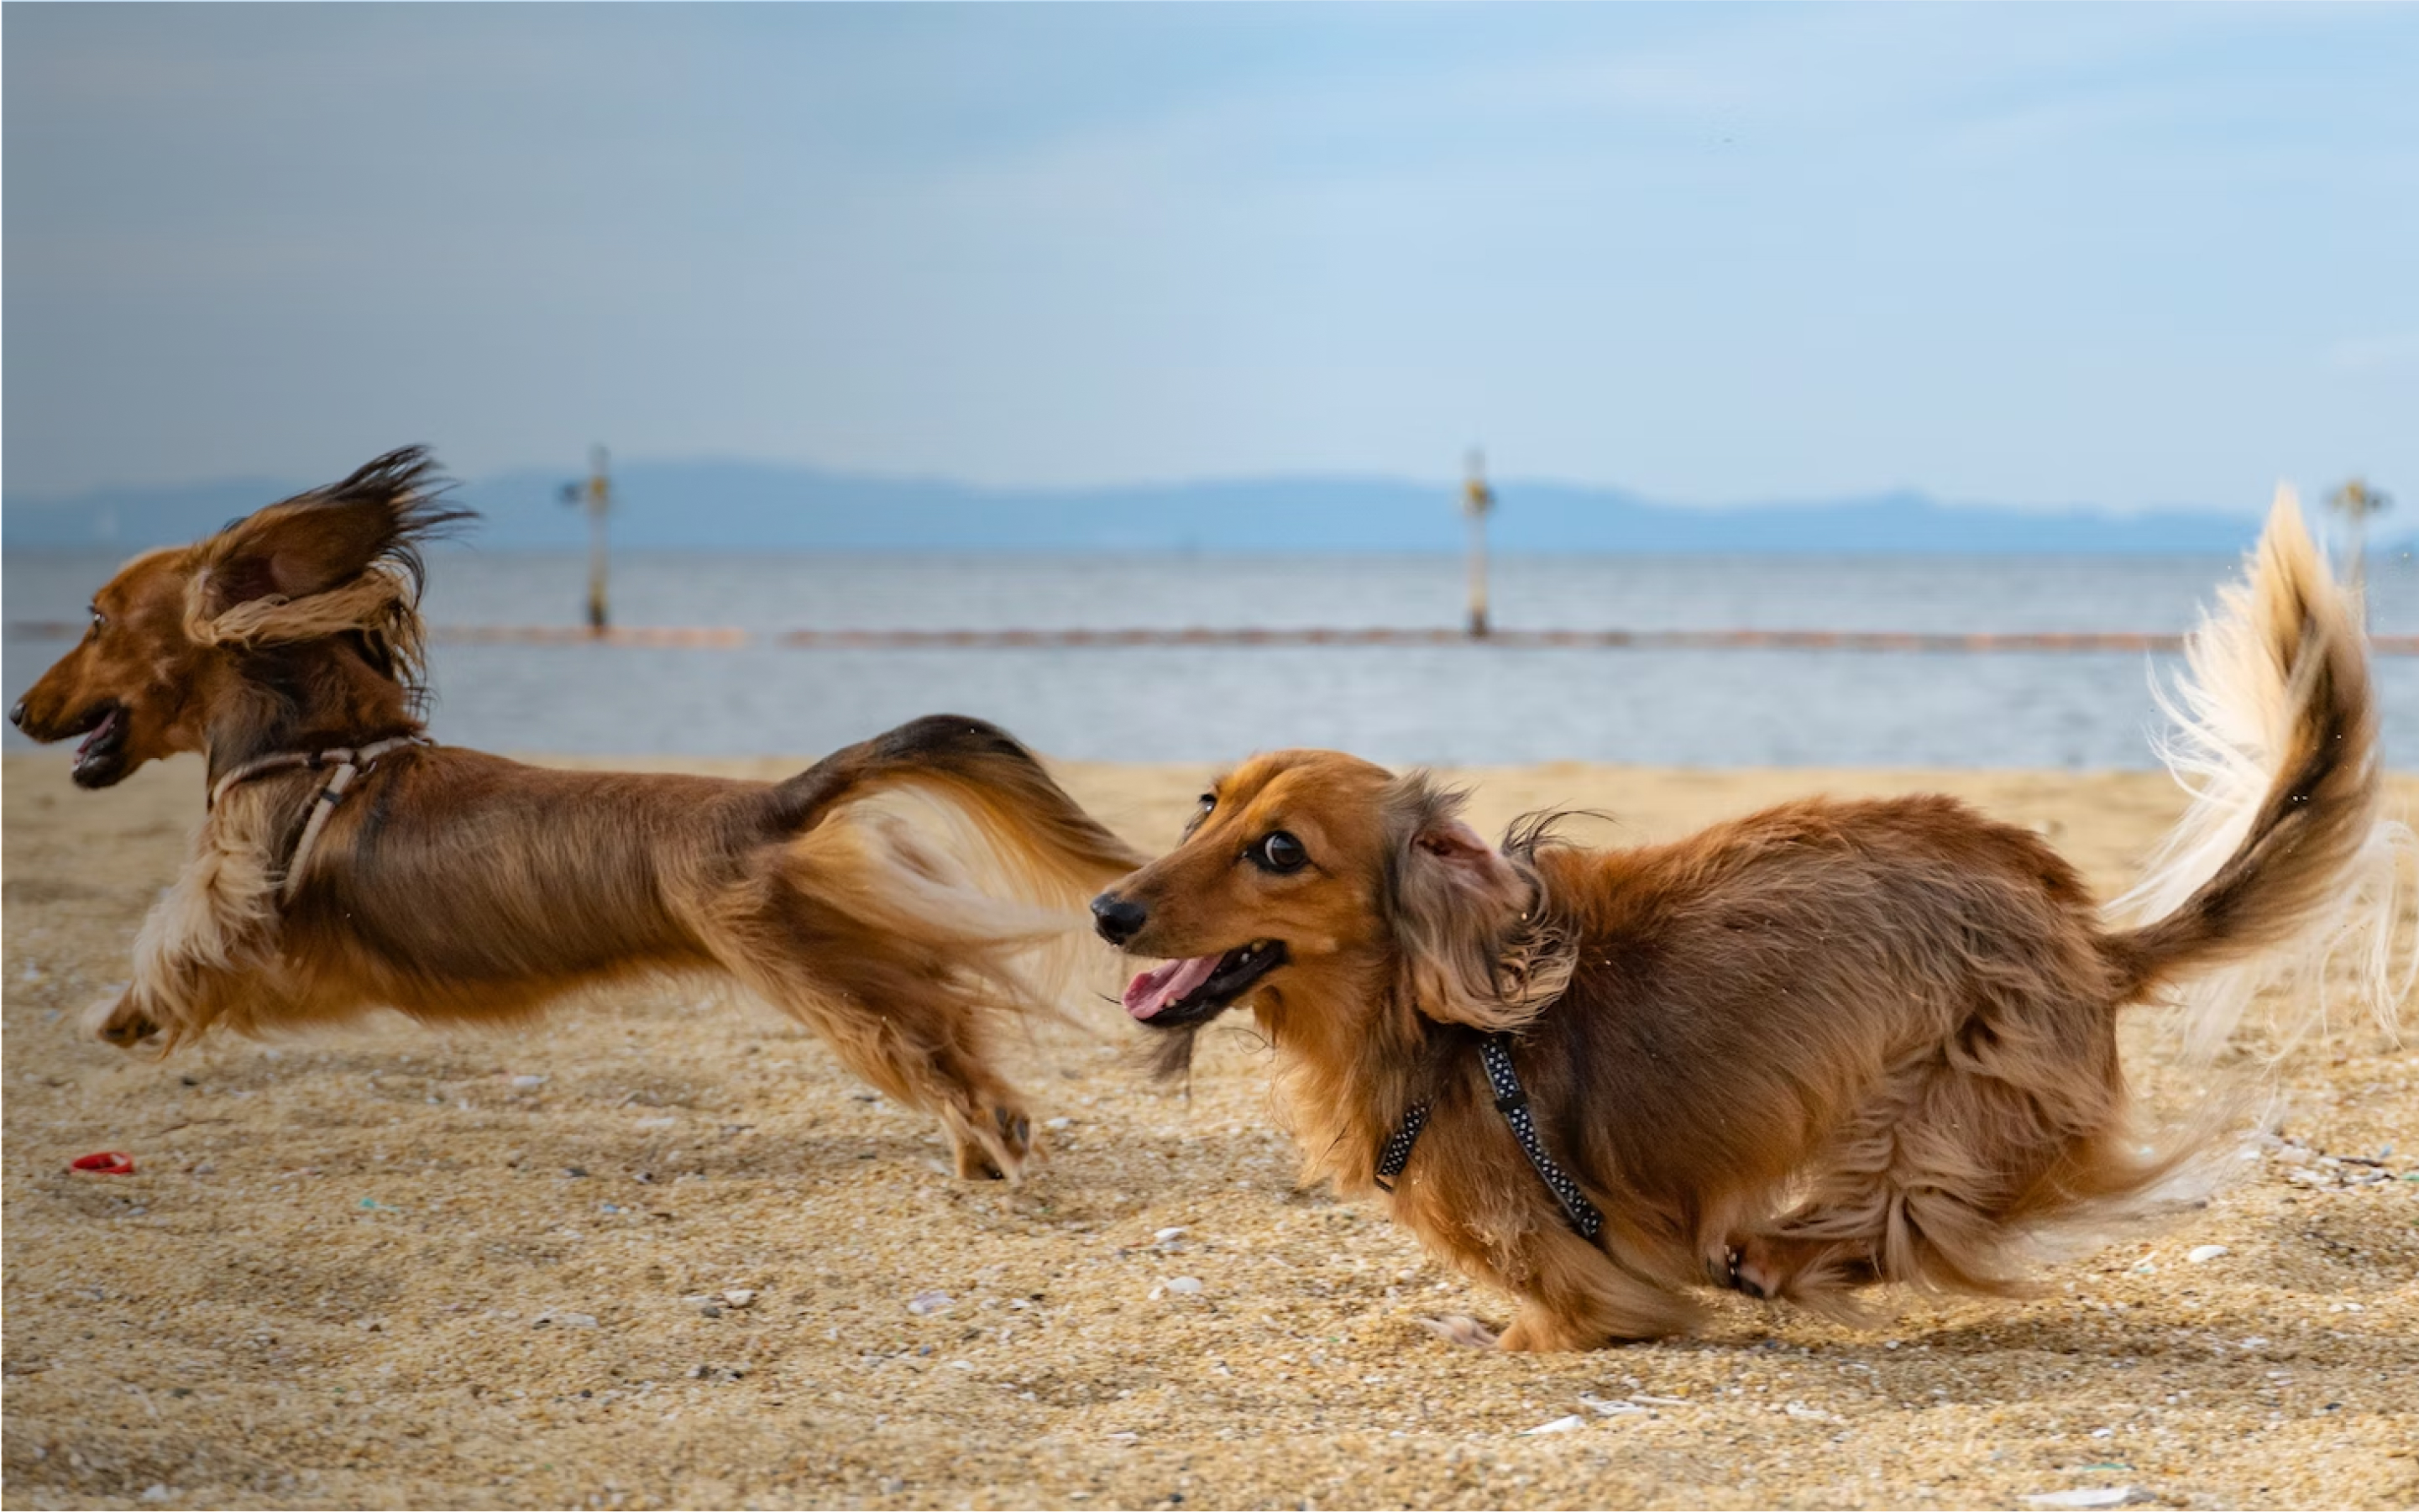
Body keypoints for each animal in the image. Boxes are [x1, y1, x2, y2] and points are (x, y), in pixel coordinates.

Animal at [12, 447, 1141, 1180]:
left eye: (97, 619)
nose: (18, 712)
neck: (317, 744)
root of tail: (774, 800)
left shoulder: (237, 893)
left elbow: (172, 935)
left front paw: (118, 1012)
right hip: (853, 942)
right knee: (953, 1020)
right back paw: (982, 1143)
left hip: (818, 969)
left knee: (932, 1041)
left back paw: (989, 1134)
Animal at [1093, 493, 2399, 1345]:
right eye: (1207, 802)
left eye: (1280, 851)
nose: (1107, 907)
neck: (1443, 1022)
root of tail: (2086, 940)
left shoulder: (1584, 1273)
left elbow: (1567, 1316)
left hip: (1942, 1106)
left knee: (1895, 1218)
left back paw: (1770, 1257)